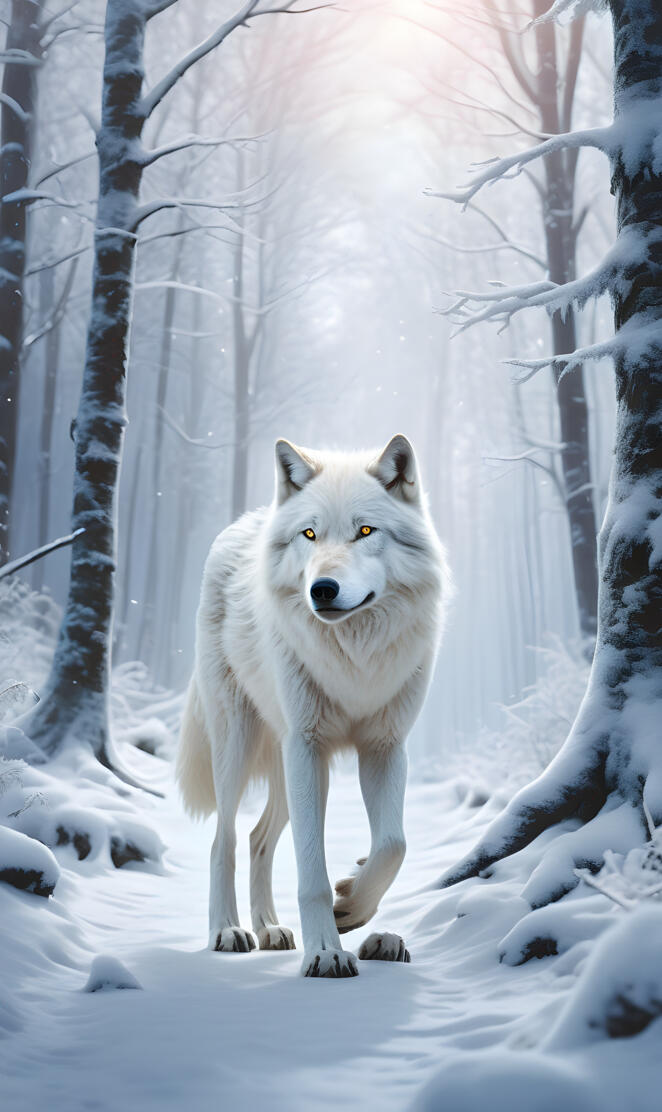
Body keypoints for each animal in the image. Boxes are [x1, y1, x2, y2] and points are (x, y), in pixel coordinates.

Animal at [176, 434, 448, 977]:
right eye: (310, 534)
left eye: (365, 531)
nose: (322, 590)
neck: (354, 659)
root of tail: (243, 521)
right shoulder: (307, 748)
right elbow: (311, 871)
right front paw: (325, 950)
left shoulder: (384, 747)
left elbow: (393, 844)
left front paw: (353, 903)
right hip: (242, 745)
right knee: (224, 839)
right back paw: (228, 931)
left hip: (289, 766)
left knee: (258, 837)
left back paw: (270, 929)